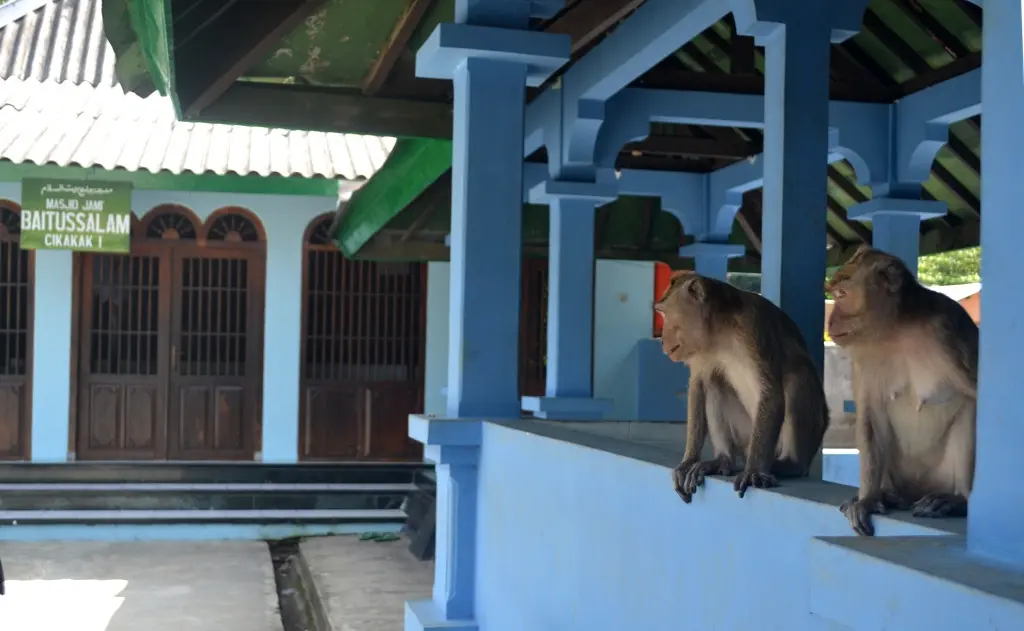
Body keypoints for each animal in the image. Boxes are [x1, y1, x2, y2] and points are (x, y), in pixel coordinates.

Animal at [655, 270, 831, 501]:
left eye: (665, 314)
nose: (662, 340)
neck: (721, 330)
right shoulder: (702, 351)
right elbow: (699, 385)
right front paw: (688, 462)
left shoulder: (754, 327)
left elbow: (771, 392)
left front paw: (754, 471)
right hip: (746, 436)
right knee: (715, 382)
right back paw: (724, 460)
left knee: (797, 379)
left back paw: (790, 464)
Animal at [823, 243, 974, 536]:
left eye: (842, 294)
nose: (831, 322)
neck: (896, 330)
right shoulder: (862, 358)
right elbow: (870, 414)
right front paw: (867, 500)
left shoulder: (948, 330)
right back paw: (888, 495)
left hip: (941, 477)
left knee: (969, 412)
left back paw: (958, 500)